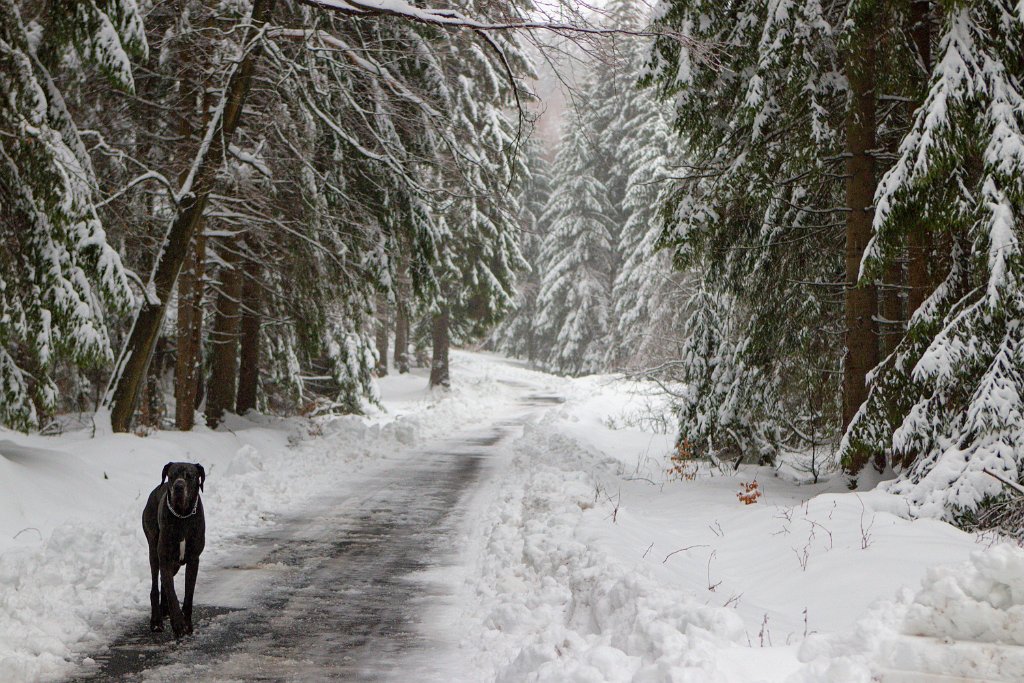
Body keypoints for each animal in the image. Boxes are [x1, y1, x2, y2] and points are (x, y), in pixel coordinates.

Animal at [142, 462, 205, 638]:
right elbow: (172, 592)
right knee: (156, 585)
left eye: (190, 476)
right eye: (172, 475)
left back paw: (164, 610)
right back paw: (157, 621)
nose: (178, 486)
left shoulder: (193, 559)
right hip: (153, 550)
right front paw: (178, 623)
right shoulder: (165, 558)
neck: (182, 515)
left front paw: (187, 624)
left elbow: (189, 594)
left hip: (175, 564)